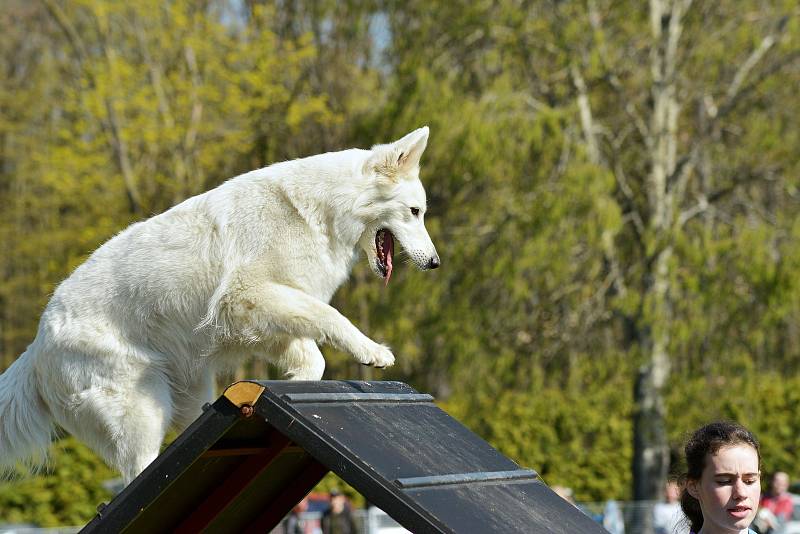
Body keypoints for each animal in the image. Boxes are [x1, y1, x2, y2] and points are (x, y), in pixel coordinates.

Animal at [0, 127, 440, 484]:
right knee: (138, 474)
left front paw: (292, 387)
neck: (322, 209)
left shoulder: (261, 316)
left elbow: (312, 357)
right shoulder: (249, 293)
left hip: (190, 393)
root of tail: (36, 349)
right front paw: (372, 351)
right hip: (142, 409)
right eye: (414, 211)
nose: (435, 263)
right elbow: (331, 317)